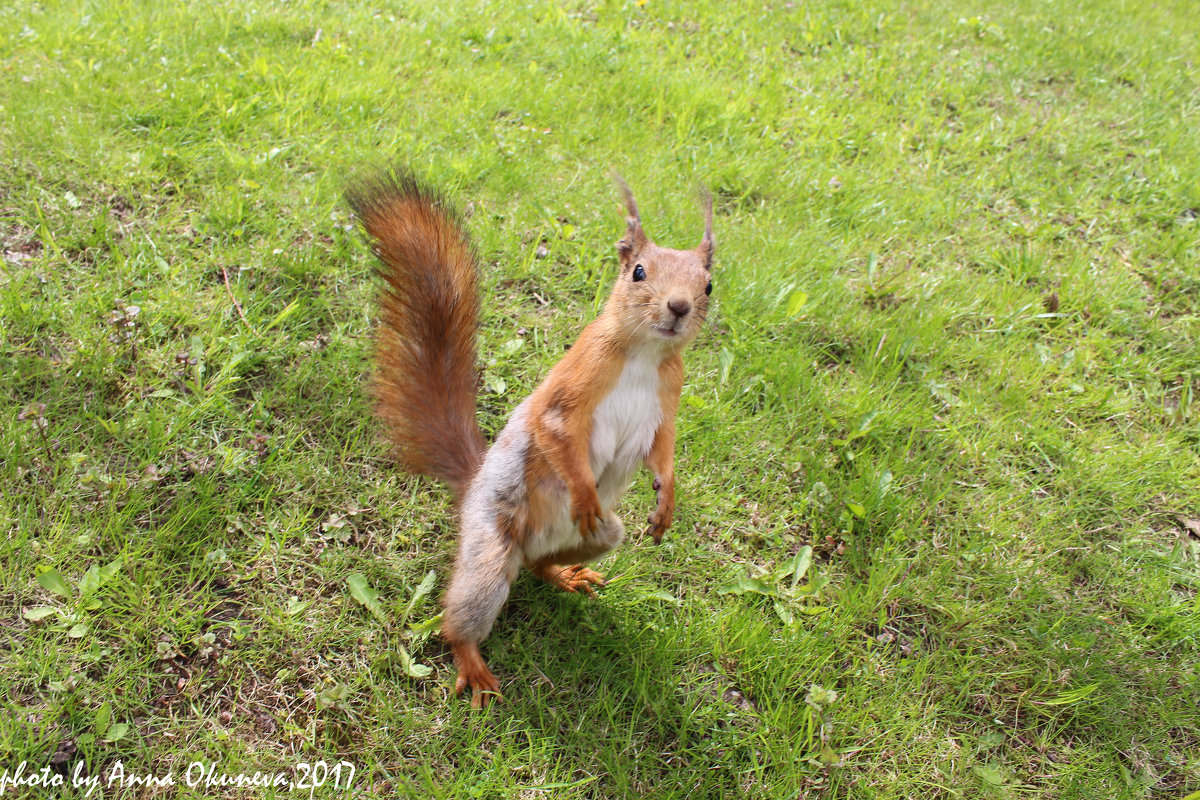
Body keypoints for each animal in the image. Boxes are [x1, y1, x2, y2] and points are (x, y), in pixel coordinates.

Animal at [348, 167, 710, 705]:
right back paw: (473, 665)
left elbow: (662, 451)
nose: (680, 306)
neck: (646, 354)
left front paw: (666, 503)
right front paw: (584, 490)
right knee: (462, 614)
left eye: (709, 284)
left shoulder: (667, 402)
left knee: (545, 563)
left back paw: (562, 574)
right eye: (639, 272)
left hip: (602, 535)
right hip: (490, 546)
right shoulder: (572, 385)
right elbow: (555, 429)